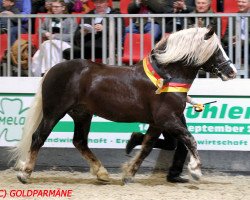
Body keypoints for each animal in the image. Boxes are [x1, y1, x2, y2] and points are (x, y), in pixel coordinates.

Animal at [10, 27, 236, 184]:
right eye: (217, 50)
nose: (232, 72)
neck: (168, 77)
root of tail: (51, 70)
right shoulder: (167, 119)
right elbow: (190, 139)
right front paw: (196, 170)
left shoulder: (158, 123)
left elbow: (147, 147)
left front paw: (128, 172)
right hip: (54, 112)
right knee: (38, 137)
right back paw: (25, 174)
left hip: (82, 114)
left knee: (80, 142)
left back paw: (102, 174)